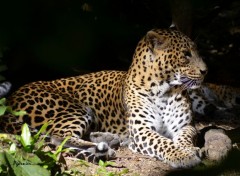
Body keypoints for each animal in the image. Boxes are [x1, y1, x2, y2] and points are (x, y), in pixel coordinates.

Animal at [0, 28, 208, 168]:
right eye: (186, 55)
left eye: (196, 52)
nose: (206, 71)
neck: (165, 89)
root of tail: (11, 99)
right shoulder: (142, 130)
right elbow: (163, 143)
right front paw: (184, 156)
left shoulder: (185, 126)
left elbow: (185, 137)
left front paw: (190, 149)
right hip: (73, 108)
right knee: (58, 138)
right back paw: (104, 149)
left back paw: (109, 139)